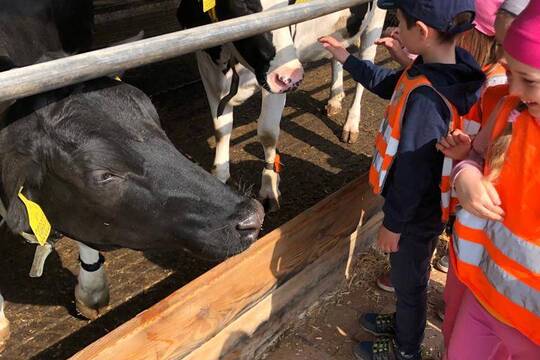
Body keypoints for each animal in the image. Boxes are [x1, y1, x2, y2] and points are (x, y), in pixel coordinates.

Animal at [176, 0, 384, 211]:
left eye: (291, 4)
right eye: (246, 5)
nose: (294, 76)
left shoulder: (274, 84)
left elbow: (267, 132)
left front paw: (269, 188)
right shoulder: (207, 68)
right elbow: (221, 129)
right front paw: (219, 177)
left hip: (375, 22)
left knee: (365, 67)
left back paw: (351, 124)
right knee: (339, 51)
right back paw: (334, 97)